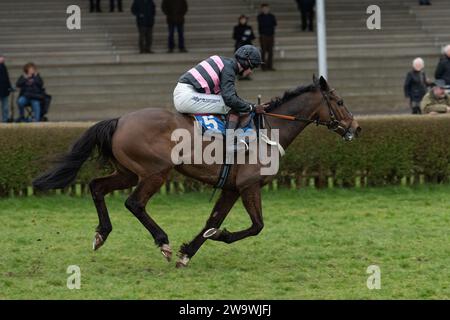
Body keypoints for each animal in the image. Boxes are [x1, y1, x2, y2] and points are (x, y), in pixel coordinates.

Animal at [32, 75, 362, 268]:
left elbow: (211, 221)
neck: (270, 129)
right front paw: (215, 238)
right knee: (134, 203)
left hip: (128, 171)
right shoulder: (249, 185)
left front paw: (188, 251)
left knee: (97, 187)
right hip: (156, 171)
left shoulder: (231, 188)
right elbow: (256, 226)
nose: (356, 128)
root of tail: (120, 119)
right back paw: (162, 241)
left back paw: (102, 234)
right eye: (340, 101)